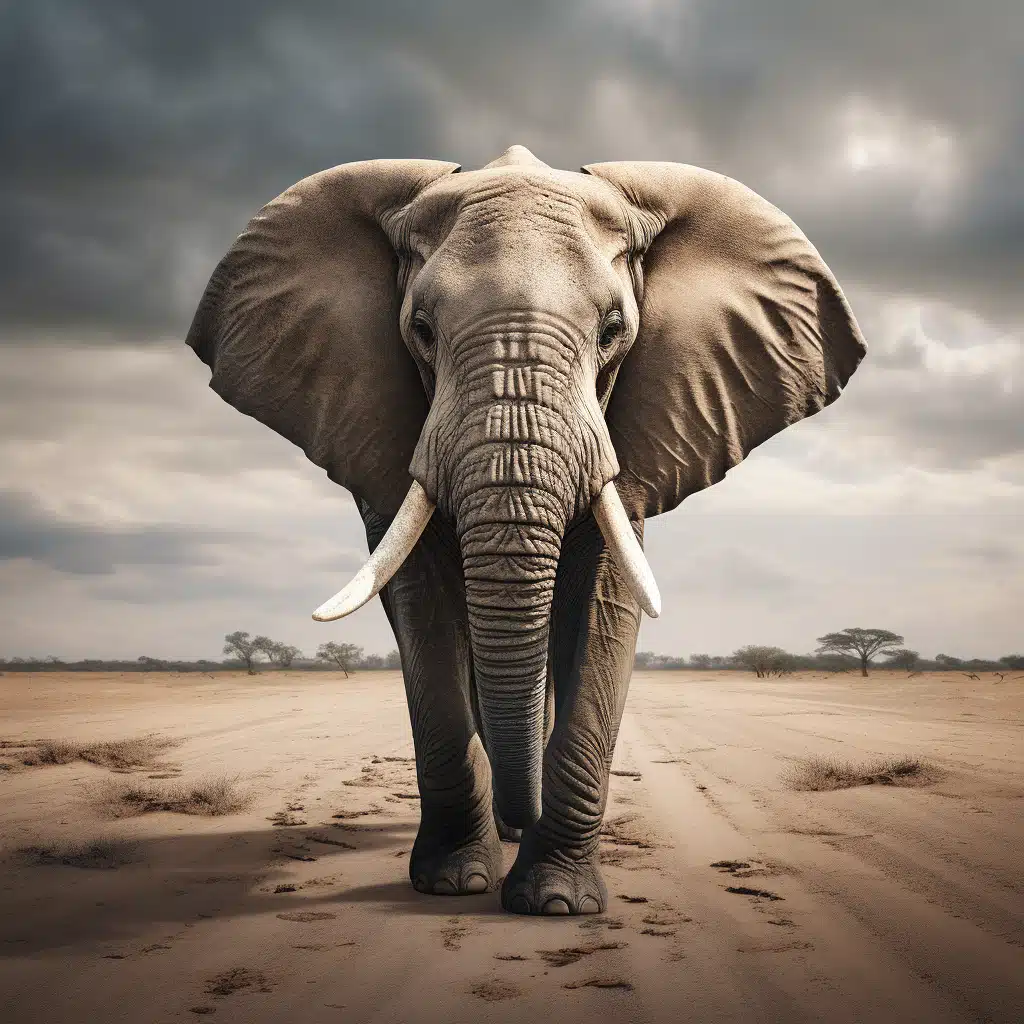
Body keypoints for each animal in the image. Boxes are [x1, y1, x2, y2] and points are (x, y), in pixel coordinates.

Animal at [186, 144, 866, 915]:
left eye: (613, 330)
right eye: (421, 331)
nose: (524, 815)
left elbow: (603, 601)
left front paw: (555, 903)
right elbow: (423, 607)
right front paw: (454, 883)